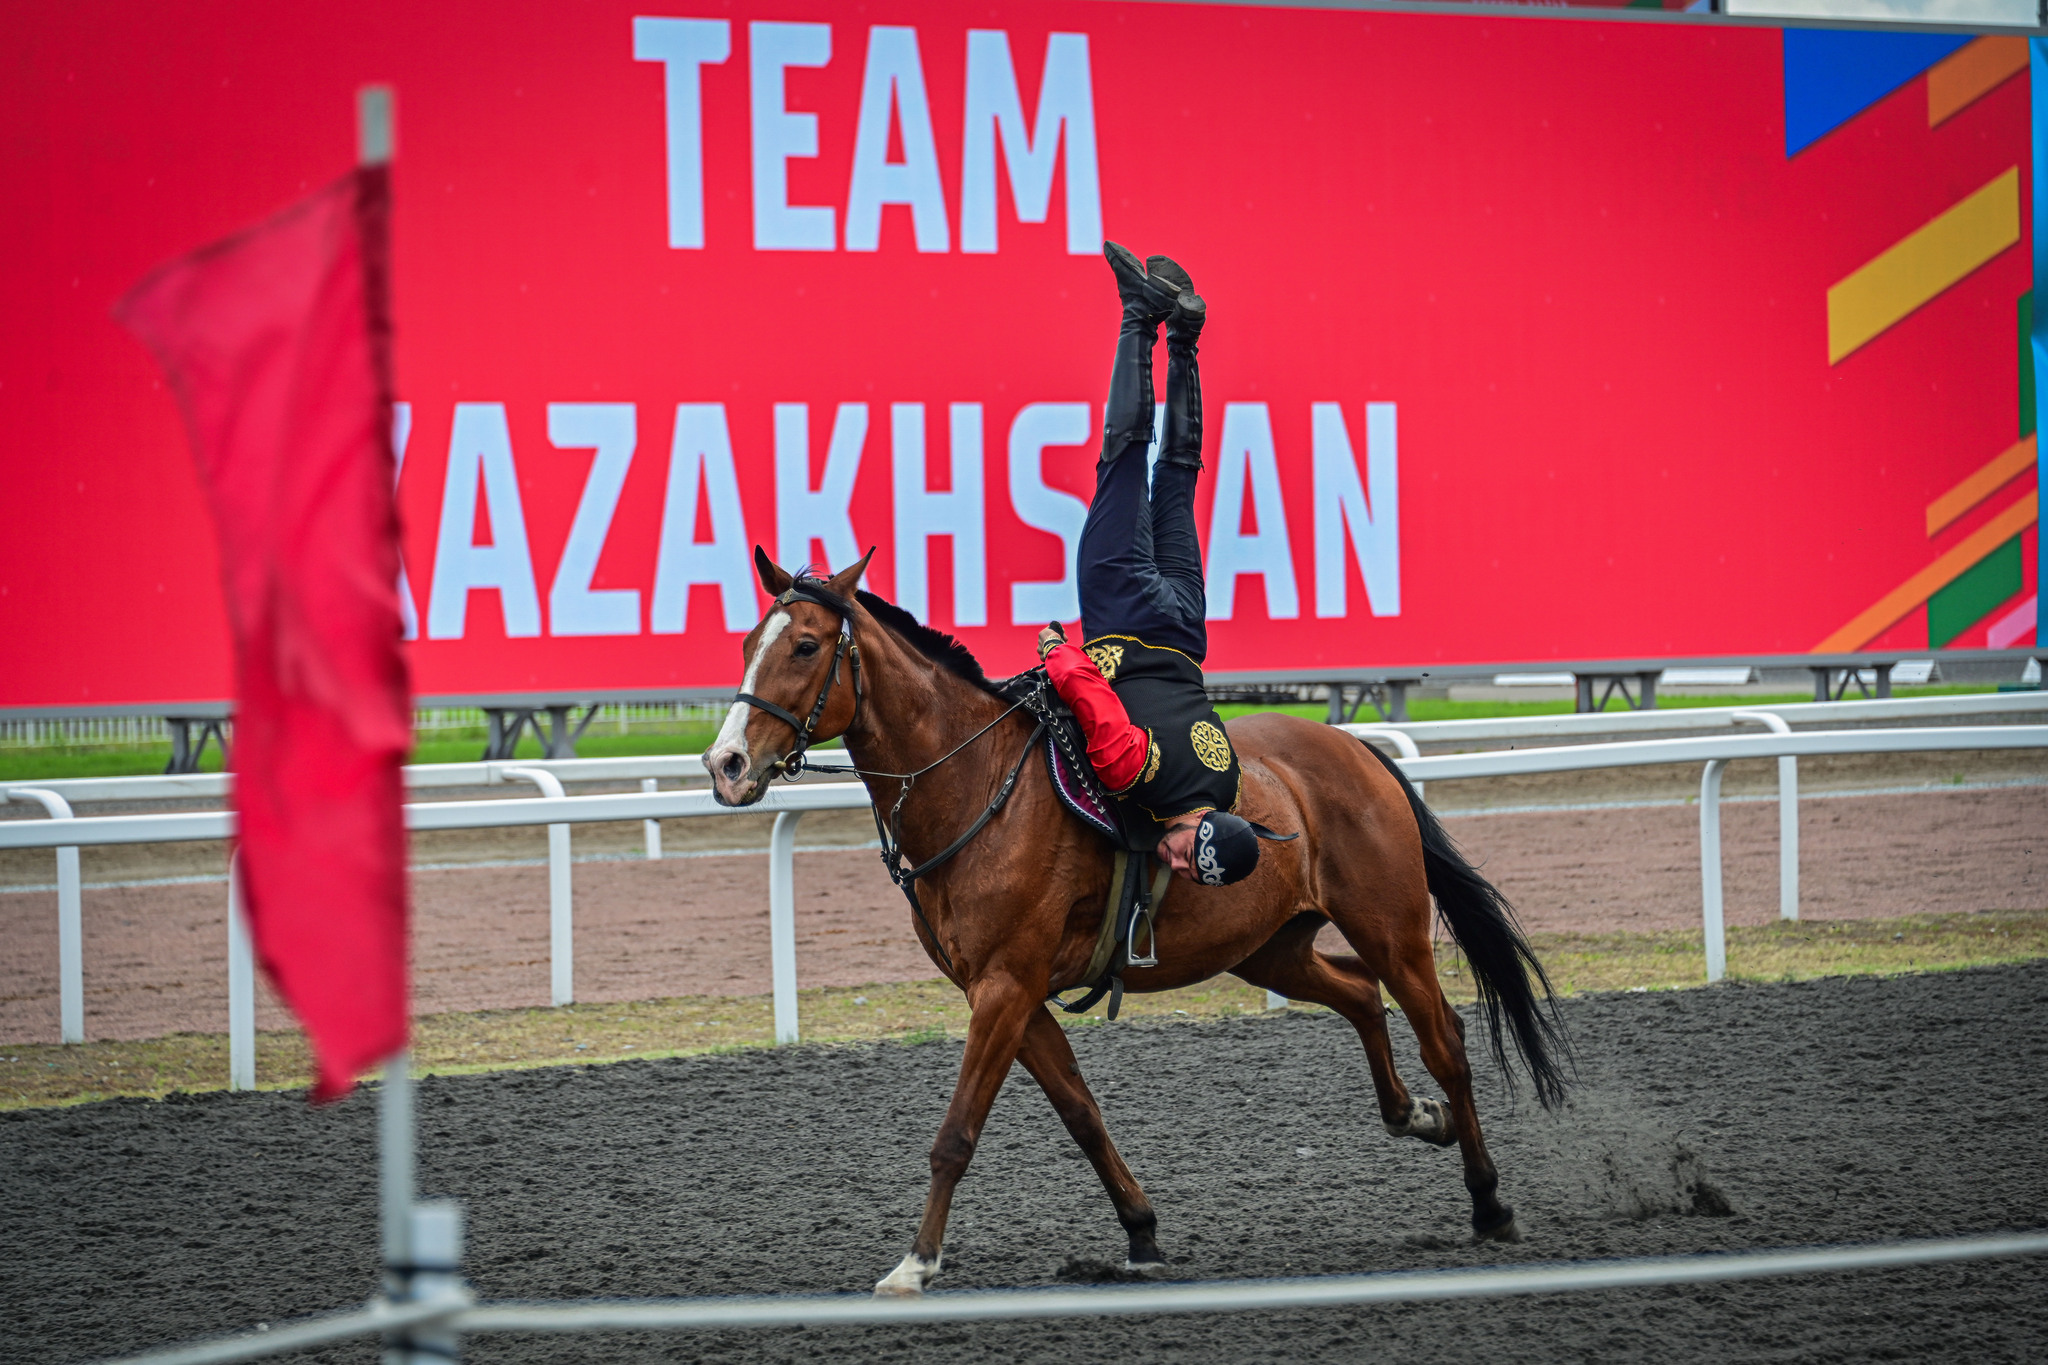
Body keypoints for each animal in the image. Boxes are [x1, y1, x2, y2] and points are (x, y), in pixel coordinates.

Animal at [704, 548, 1564, 1301]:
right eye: (747, 644)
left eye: (805, 644)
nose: (726, 764)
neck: (976, 780)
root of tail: (1355, 749)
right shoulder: (1009, 993)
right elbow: (1082, 1112)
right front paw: (1141, 1230)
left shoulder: (1006, 985)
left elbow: (957, 1133)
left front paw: (916, 1262)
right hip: (1267, 947)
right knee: (1357, 995)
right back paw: (1417, 1114)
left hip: (1390, 926)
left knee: (1443, 1036)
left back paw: (1488, 1199)